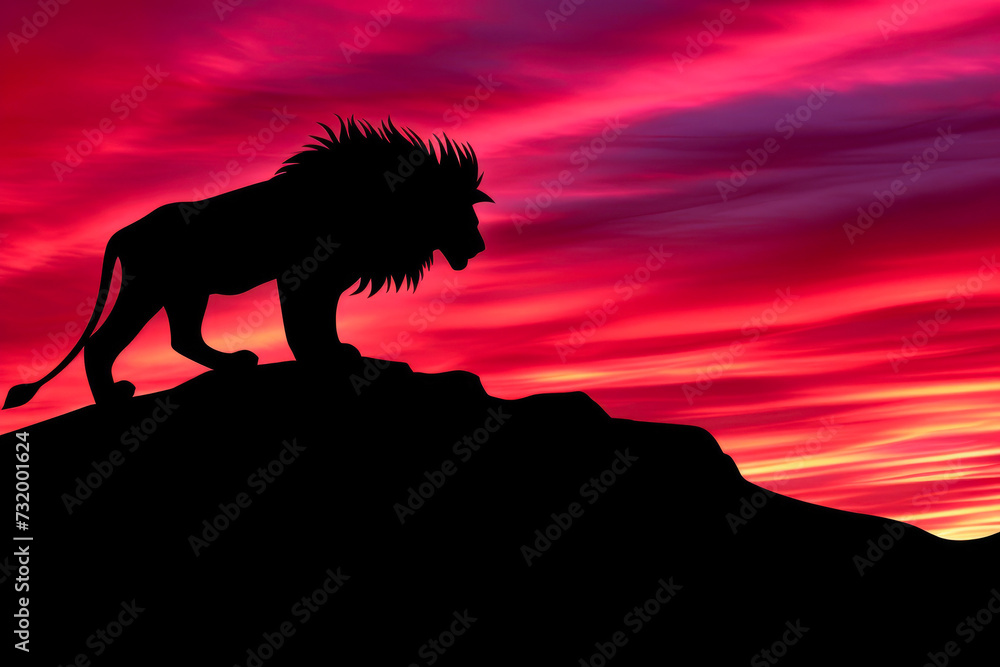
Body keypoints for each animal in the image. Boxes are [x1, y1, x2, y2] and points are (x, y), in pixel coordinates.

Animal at [3, 116, 491, 409]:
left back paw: (233, 363)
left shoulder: (332, 277)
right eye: (463, 215)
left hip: (185, 291)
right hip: (152, 288)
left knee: (182, 338)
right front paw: (325, 361)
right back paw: (114, 397)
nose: (481, 246)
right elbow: (304, 325)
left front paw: (338, 353)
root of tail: (124, 231)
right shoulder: (303, 274)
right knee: (103, 342)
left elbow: (324, 321)